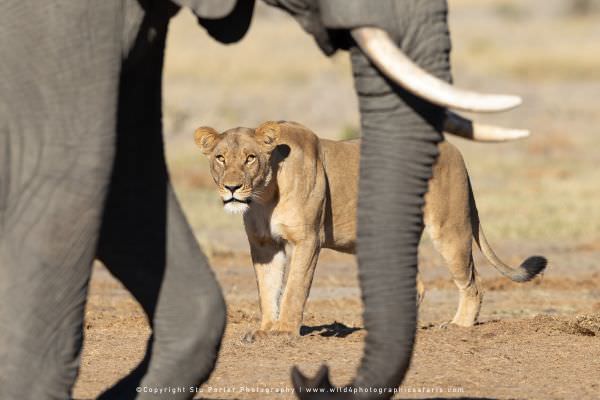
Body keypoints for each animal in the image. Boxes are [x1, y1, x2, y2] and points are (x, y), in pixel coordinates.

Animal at [0, 0, 524, 400]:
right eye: (219, 159)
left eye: (251, 158)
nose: (232, 188)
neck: (265, 195)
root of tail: (454, 150)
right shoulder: (263, 244)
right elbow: (266, 287)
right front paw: (264, 330)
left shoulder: (306, 240)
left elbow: (294, 289)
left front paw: (286, 333)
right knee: (414, 283)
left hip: (449, 230)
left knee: (471, 282)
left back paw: (458, 328)